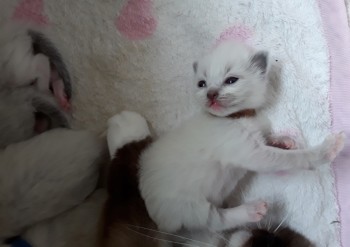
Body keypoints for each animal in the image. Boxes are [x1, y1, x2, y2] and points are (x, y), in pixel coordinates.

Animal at [137, 40, 344, 233]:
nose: (210, 94)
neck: (238, 117)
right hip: (188, 207)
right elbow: (292, 158)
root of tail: (159, 221)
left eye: (231, 80)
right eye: (202, 84)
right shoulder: (252, 154)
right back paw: (252, 210)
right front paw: (327, 149)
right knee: (215, 221)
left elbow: (269, 138)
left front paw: (285, 141)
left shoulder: (257, 138)